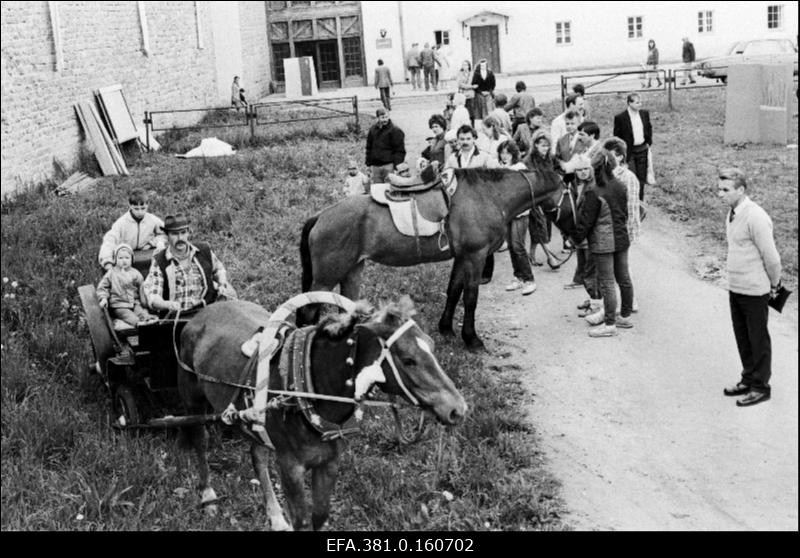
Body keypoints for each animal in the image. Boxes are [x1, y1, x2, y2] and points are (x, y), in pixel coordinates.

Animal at [175, 296, 462, 532]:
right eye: (408, 360)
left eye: (432, 346)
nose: (457, 409)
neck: (310, 386)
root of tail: (201, 314)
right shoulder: (290, 467)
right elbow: (302, 521)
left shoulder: (330, 461)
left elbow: (320, 517)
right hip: (192, 400)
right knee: (200, 442)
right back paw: (208, 495)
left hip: (255, 419)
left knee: (257, 455)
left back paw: (276, 517)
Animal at [302, 167, 576, 350]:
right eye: (575, 196)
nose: (576, 233)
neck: (489, 195)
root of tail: (321, 216)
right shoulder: (475, 256)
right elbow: (470, 298)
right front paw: (471, 338)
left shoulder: (462, 257)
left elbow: (453, 291)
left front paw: (446, 328)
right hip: (326, 277)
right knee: (307, 312)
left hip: (352, 271)